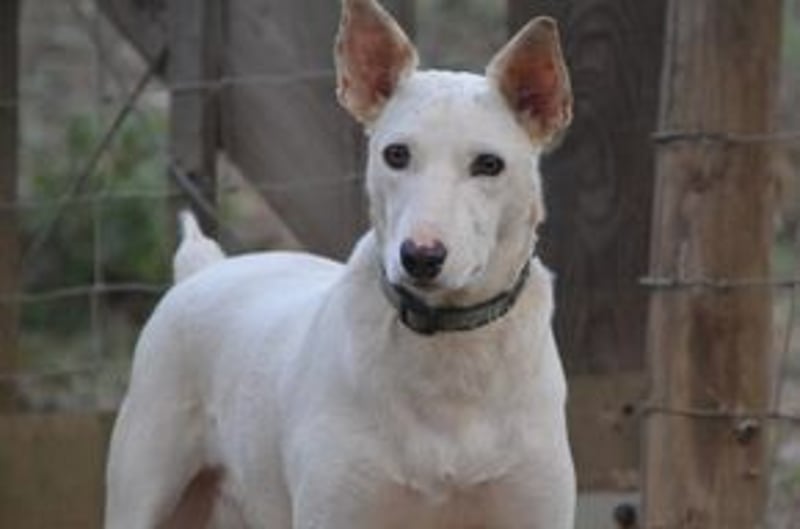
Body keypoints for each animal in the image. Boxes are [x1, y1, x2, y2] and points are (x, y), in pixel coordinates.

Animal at [104, 0, 575, 527]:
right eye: (396, 154)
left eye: (489, 165)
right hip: (145, 484)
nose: (420, 257)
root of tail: (204, 269)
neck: (451, 355)